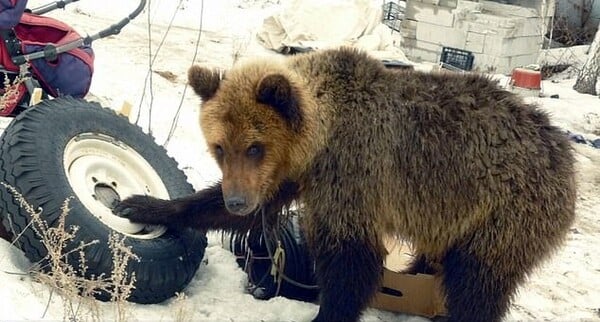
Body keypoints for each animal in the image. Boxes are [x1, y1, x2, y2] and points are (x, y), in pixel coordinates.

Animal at [112, 47, 576, 322]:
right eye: (220, 147)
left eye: (255, 146)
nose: (238, 199)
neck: (319, 135)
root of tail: (562, 148)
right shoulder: (294, 176)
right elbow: (225, 209)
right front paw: (142, 204)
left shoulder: (353, 172)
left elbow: (352, 260)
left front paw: (327, 312)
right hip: (453, 215)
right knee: (437, 260)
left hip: (505, 211)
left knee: (477, 283)